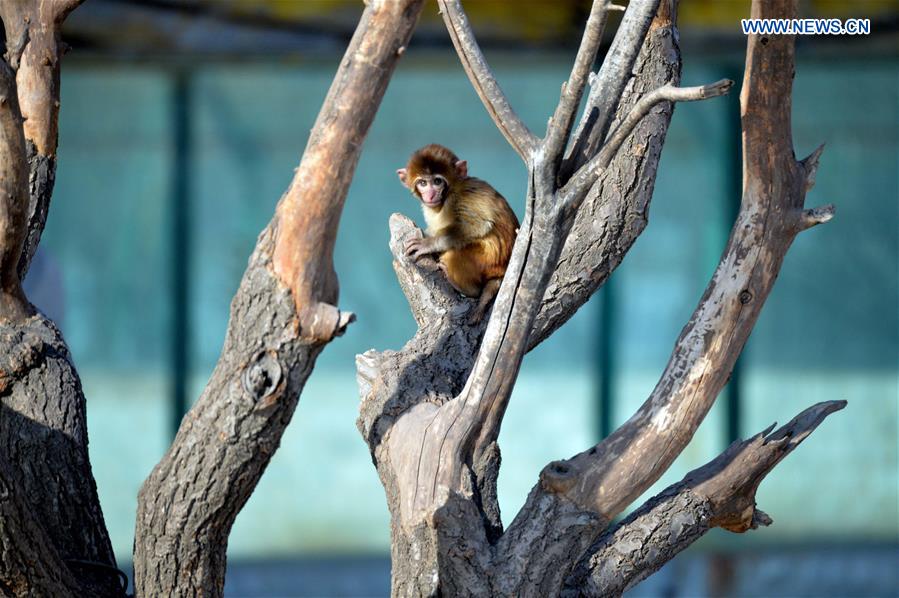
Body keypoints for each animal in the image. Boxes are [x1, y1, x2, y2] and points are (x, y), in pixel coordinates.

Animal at [396, 145, 516, 324]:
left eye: (437, 181)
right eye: (423, 183)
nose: (430, 195)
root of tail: (503, 271)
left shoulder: (460, 197)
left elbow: (477, 225)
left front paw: (427, 244)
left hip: (488, 261)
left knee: (455, 255)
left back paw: (467, 288)